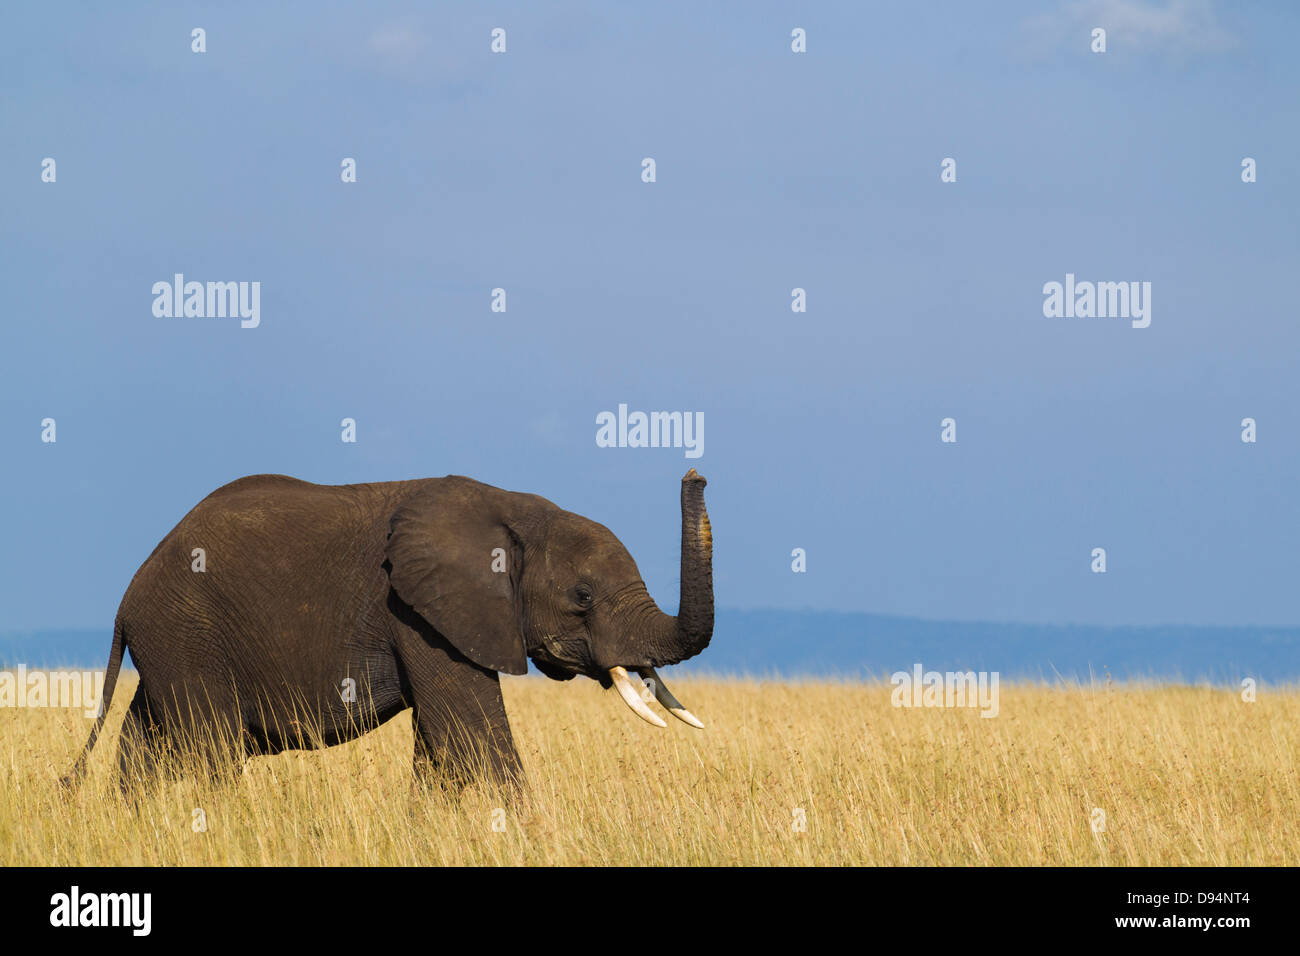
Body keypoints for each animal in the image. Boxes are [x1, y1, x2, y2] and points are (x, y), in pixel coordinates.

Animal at [63, 468, 712, 790]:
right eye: (582, 597)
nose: (695, 472)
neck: (514, 509)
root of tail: (128, 595)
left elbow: (440, 744)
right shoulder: (419, 613)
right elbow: (475, 741)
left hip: (172, 638)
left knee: (146, 747)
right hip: (186, 631)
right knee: (209, 752)